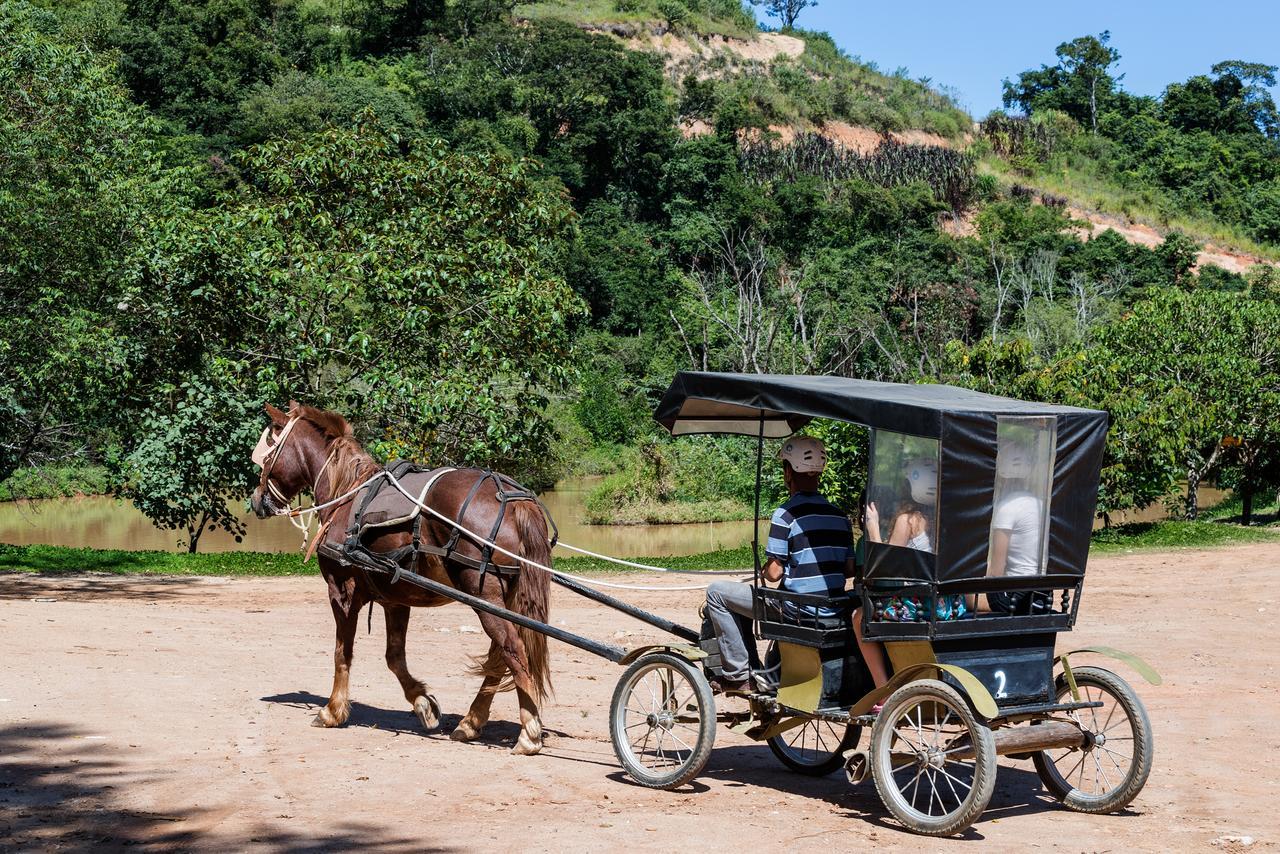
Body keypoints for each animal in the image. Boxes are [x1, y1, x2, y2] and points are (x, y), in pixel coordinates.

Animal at [247, 402, 552, 752]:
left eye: (268, 454)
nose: (255, 499)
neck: (347, 495)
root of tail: (513, 500)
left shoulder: (341, 591)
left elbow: (342, 652)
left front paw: (333, 710)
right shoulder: (395, 599)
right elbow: (394, 657)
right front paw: (423, 704)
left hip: (485, 597)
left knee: (513, 650)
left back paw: (528, 731)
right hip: (506, 599)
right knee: (500, 655)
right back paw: (471, 722)